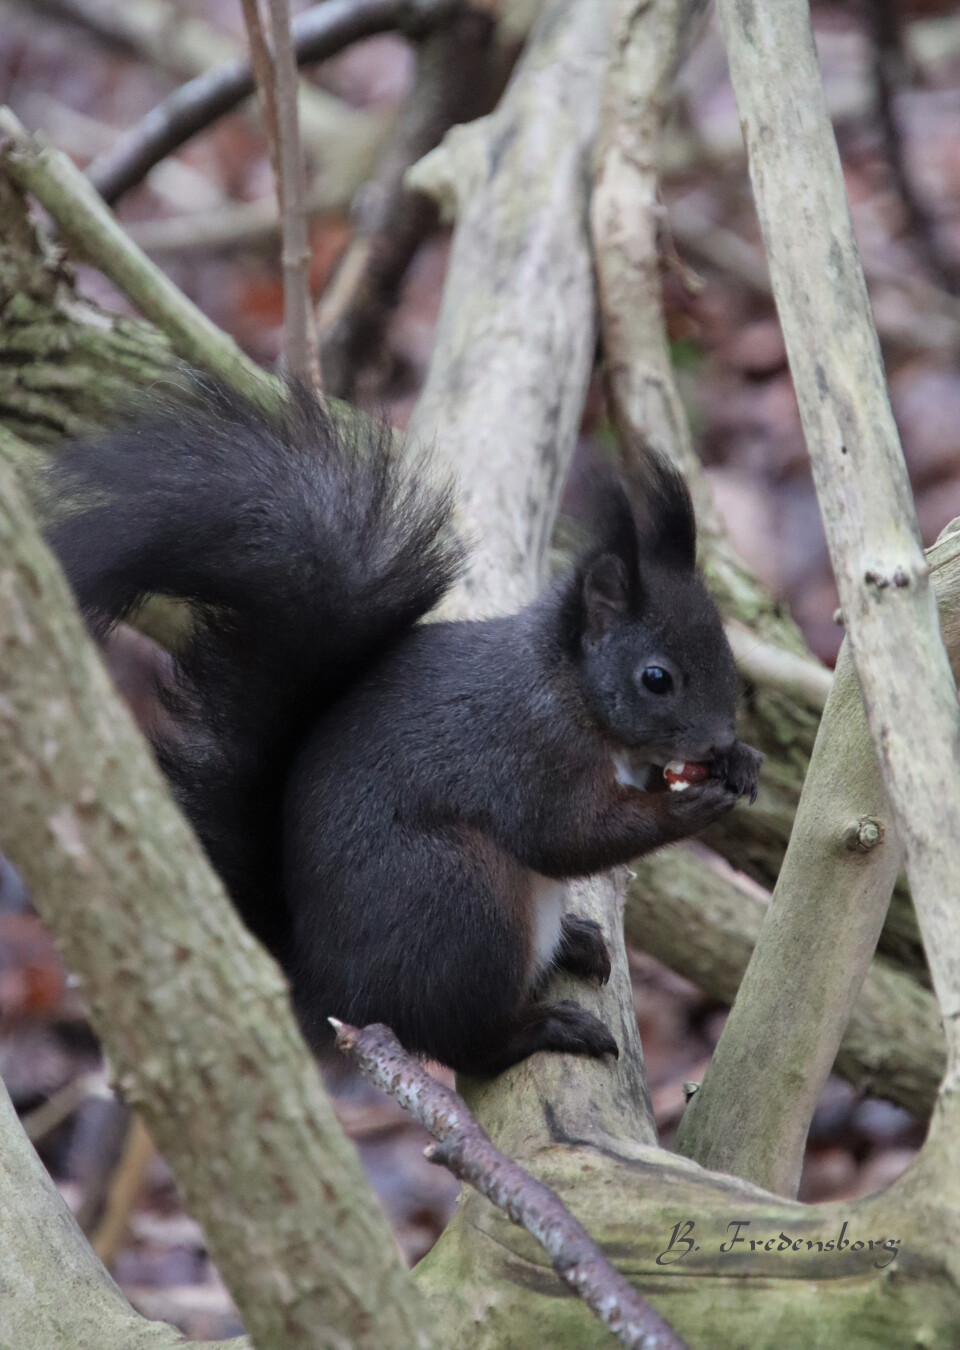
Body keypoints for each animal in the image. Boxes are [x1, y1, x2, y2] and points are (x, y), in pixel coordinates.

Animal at [46, 381, 761, 1077]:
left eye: (726, 649)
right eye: (656, 678)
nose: (718, 740)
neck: (568, 688)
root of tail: (332, 988)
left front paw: (741, 764)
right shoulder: (529, 753)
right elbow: (569, 837)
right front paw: (688, 807)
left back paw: (573, 944)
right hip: (458, 901)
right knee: (457, 1042)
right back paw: (536, 1030)